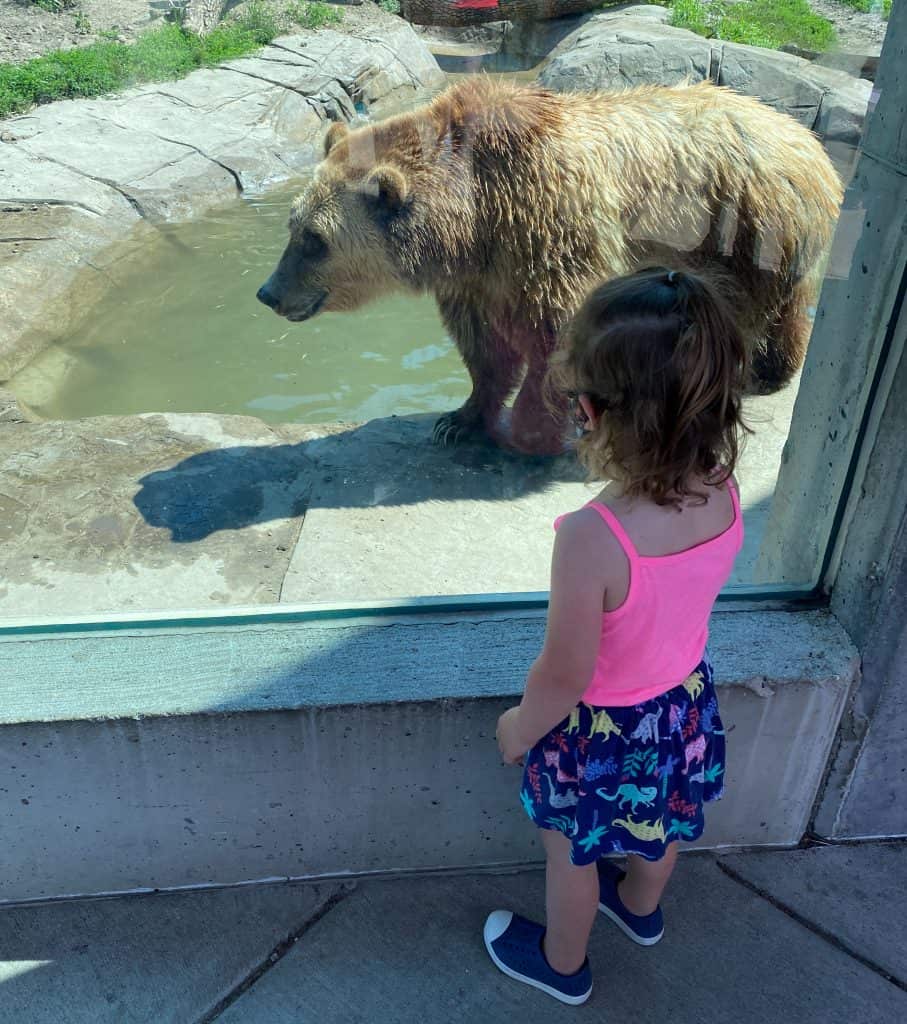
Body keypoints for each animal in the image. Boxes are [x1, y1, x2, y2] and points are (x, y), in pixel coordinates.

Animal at [255, 75, 843, 452]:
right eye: (292, 225)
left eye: (314, 240)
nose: (268, 292)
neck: (471, 213)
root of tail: (807, 140)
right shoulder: (479, 272)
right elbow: (484, 346)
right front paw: (459, 418)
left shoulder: (549, 223)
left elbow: (556, 327)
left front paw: (533, 429)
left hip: (744, 227)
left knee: (756, 305)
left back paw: (762, 371)